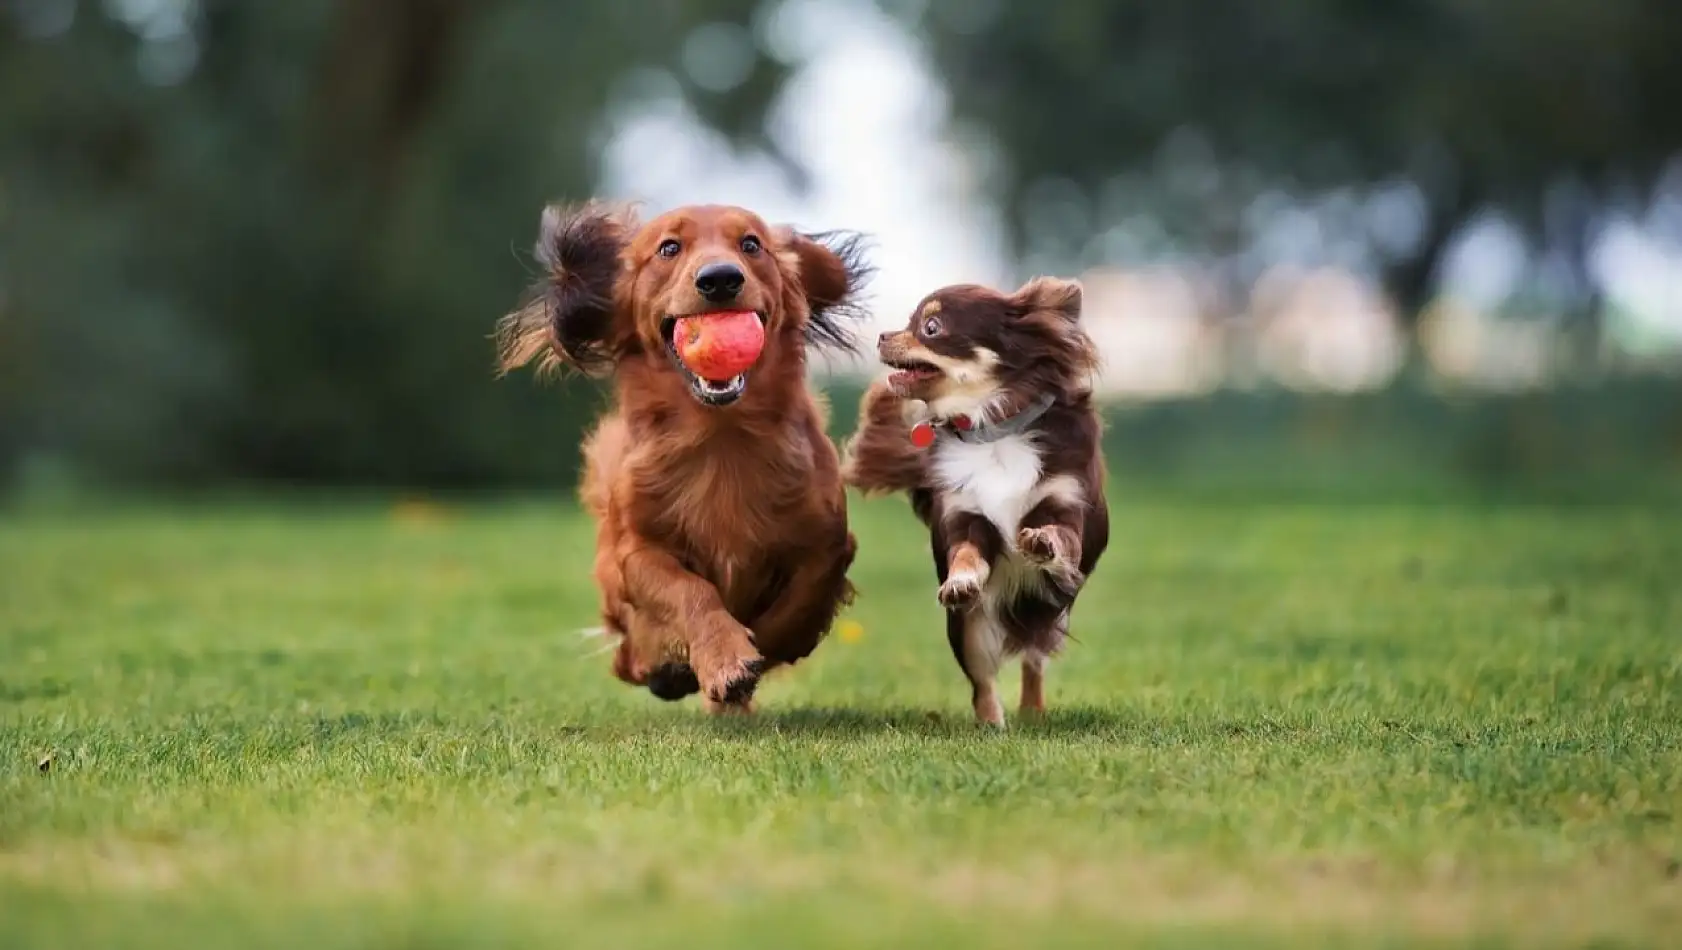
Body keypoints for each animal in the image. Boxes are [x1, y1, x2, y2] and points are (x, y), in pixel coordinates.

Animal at [494, 203, 867, 716]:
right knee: (628, 655)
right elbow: (690, 592)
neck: (720, 438)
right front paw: (724, 658)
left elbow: (800, 602)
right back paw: (665, 668)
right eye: (669, 247)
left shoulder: (828, 540)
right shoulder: (637, 552)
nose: (720, 279)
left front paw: (756, 652)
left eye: (751, 244)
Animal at [847, 277, 1110, 723]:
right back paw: (991, 724)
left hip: (1047, 614)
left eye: (931, 327)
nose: (882, 336)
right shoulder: (965, 517)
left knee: (1033, 660)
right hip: (969, 630)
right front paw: (961, 581)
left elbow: (1061, 536)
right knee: (983, 682)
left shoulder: (1066, 504)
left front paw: (1042, 541)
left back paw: (1032, 711)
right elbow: (967, 554)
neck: (992, 430)